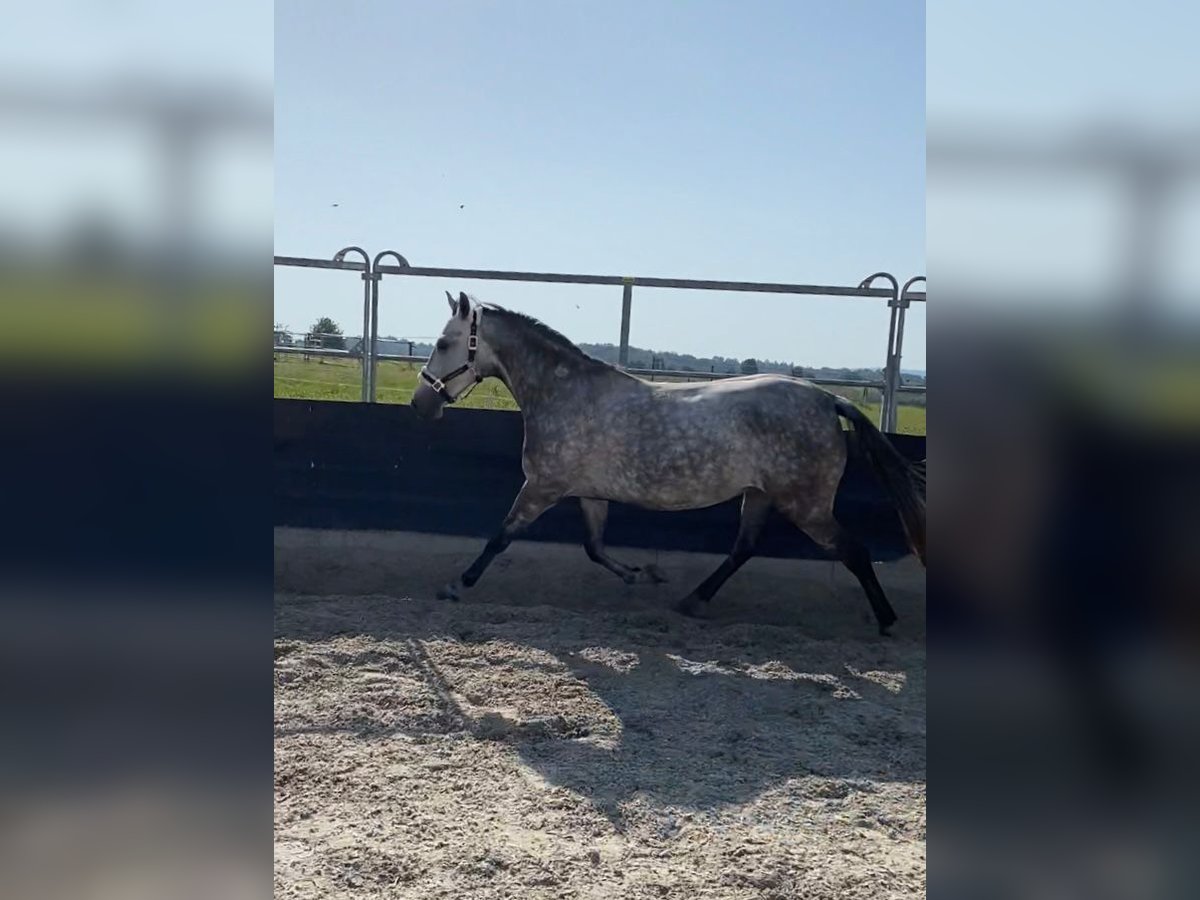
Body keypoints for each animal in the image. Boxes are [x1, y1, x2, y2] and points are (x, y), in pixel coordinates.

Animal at [412, 292, 926, 628]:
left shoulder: (542, 487)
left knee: (853, 551)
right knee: (744, 548)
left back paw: (887, 621)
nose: (421, 403)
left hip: (806, 505)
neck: (565, 395)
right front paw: (642, 574)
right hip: (760, 495)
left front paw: (456, 585)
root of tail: (827, 399)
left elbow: (501, 537)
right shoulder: (588, 494)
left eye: (442, 344)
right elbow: (594, 547)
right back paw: (691, 601)